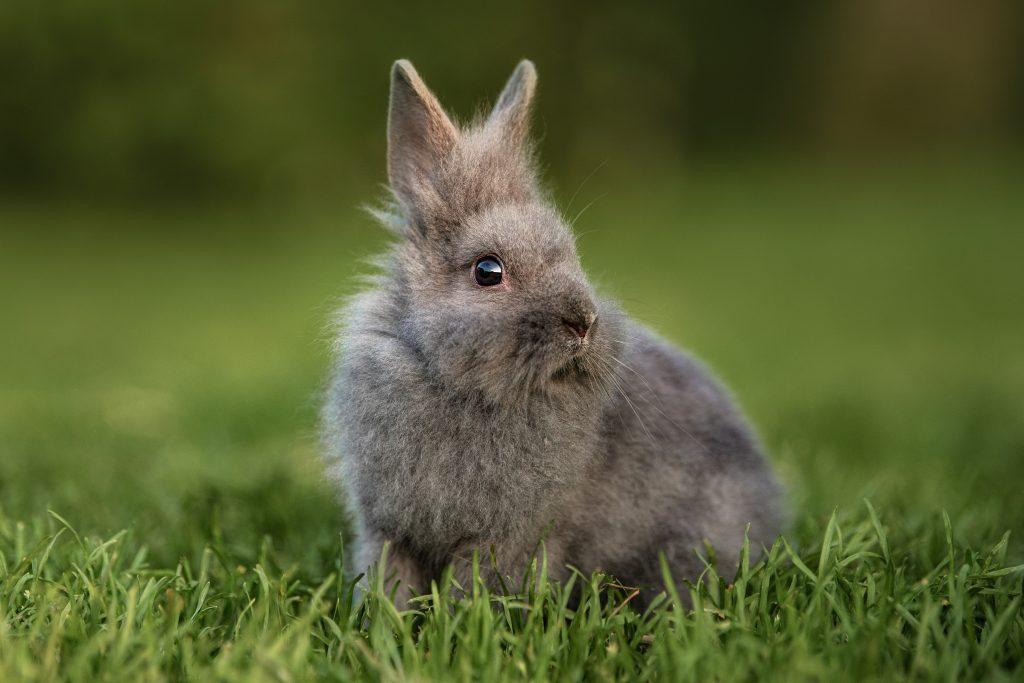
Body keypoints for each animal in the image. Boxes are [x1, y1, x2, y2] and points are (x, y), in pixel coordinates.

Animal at [322, 59, 782, 607]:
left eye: (572, 254)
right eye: (488, 271)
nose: (583, 322)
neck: (453, 384)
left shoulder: (509, 537)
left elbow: (474, 587)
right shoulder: (388, 530)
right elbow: (392, 583)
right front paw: (386, 622)